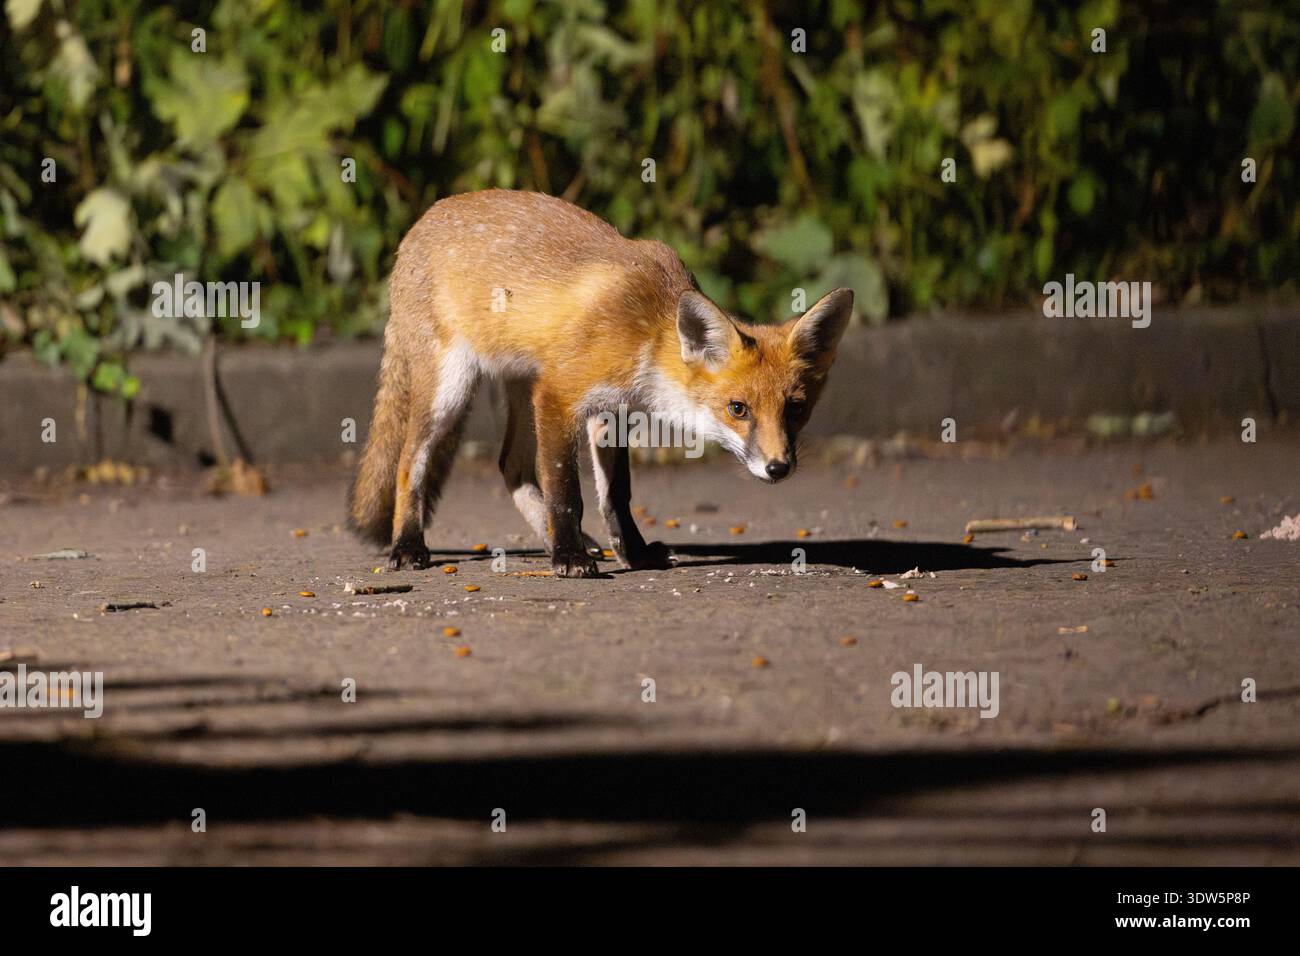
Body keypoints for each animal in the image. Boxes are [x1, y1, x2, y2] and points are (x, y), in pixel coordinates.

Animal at [348, 190, 853, 578]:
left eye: (795, 408)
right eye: (738, 408)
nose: (778, 468)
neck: (647, 331)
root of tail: (420, 223)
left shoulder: (611, 411)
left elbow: (617, 496)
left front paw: (633, 552)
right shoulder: (559, 395)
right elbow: (566, 491)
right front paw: (569, 557)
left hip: (520, 390)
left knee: (511, 467)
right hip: (450, 392)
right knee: (409, 463)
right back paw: (407, 546)